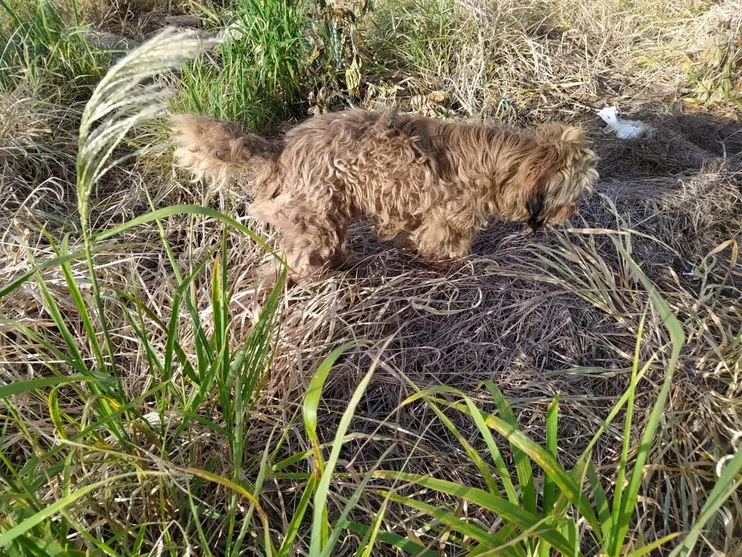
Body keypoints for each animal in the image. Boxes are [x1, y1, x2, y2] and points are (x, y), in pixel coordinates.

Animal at [173, 109, 600, 282]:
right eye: (575, 190)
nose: (575, 211)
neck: (502, 162)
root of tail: (282, 149)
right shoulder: (447, 219)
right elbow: (442, 247)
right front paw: (448, 269)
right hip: (314, 220)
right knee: (293, 261)